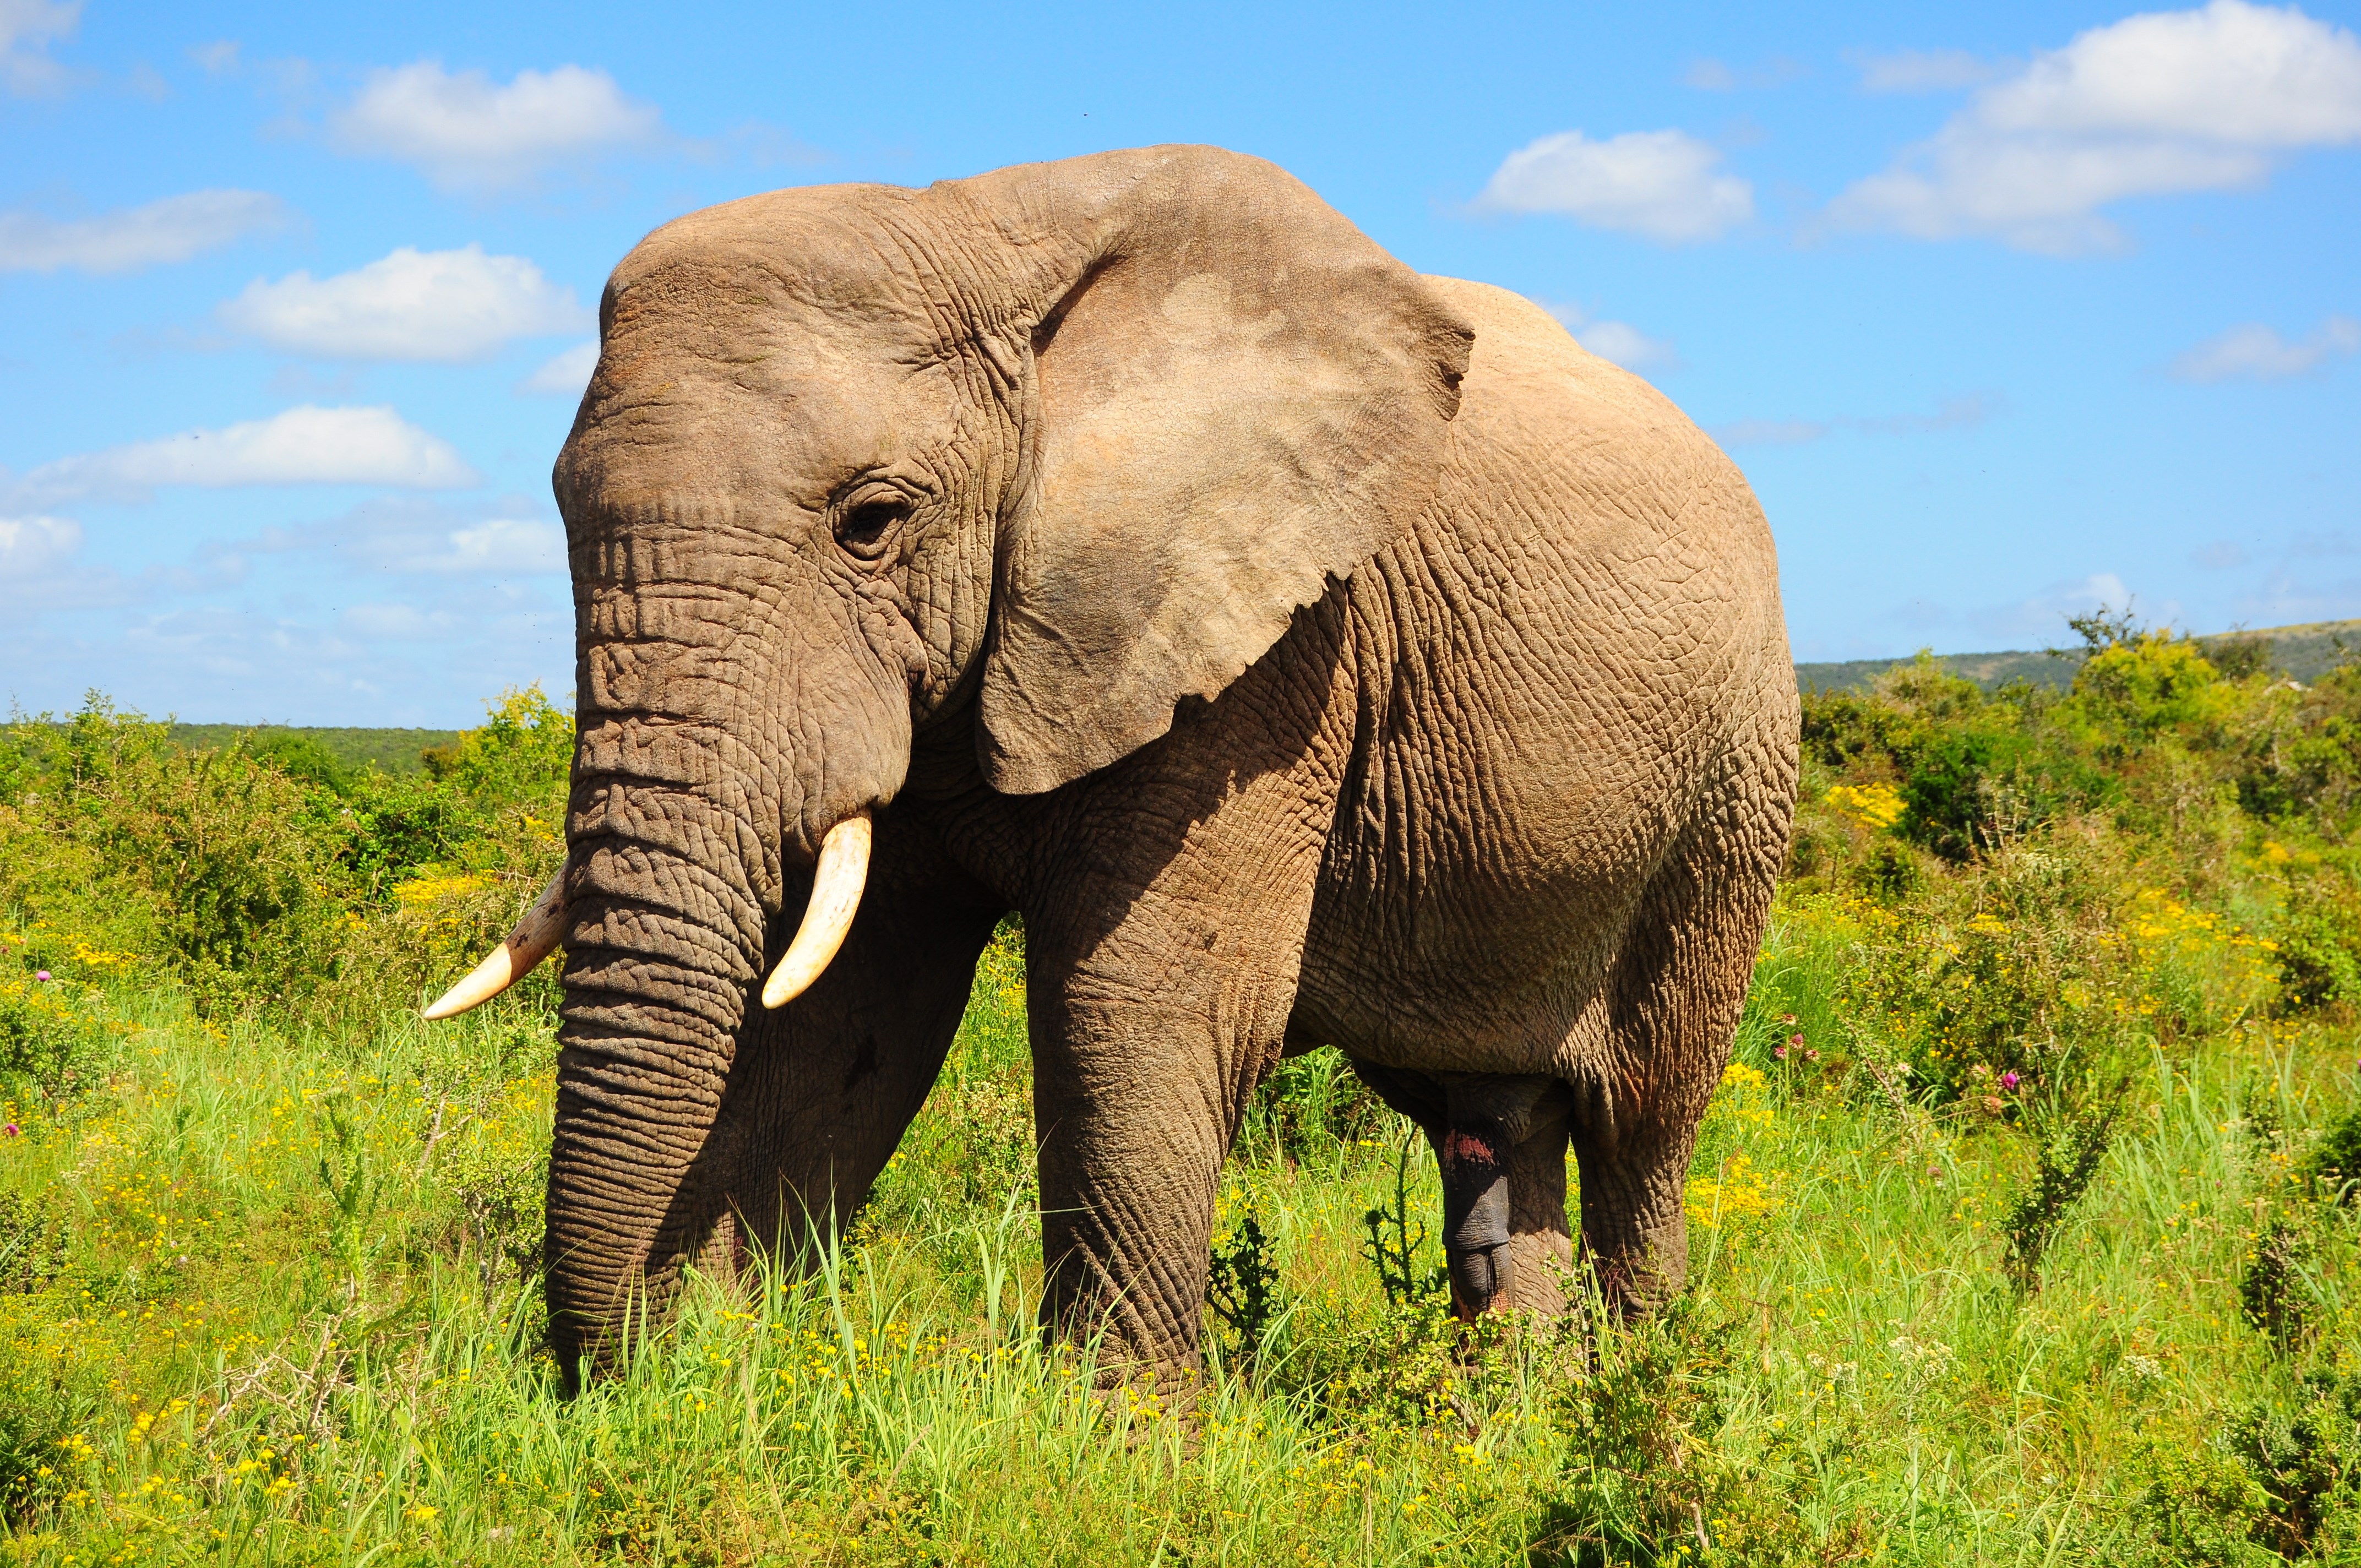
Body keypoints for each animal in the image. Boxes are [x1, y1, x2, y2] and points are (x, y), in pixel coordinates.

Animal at [429, 141, 1785, 1379]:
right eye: (559, 509)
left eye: (872, 521)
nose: (617, 1361)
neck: (980, 241)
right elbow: (849, 1015)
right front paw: (711, 1381)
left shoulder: (1275, 644)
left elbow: (1134, 1006)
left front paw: (1122, 1437)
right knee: (1492, 1116)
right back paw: (1514, 1408)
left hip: (1728, 794)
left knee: (1643, 1120)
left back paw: (1646, 1391)